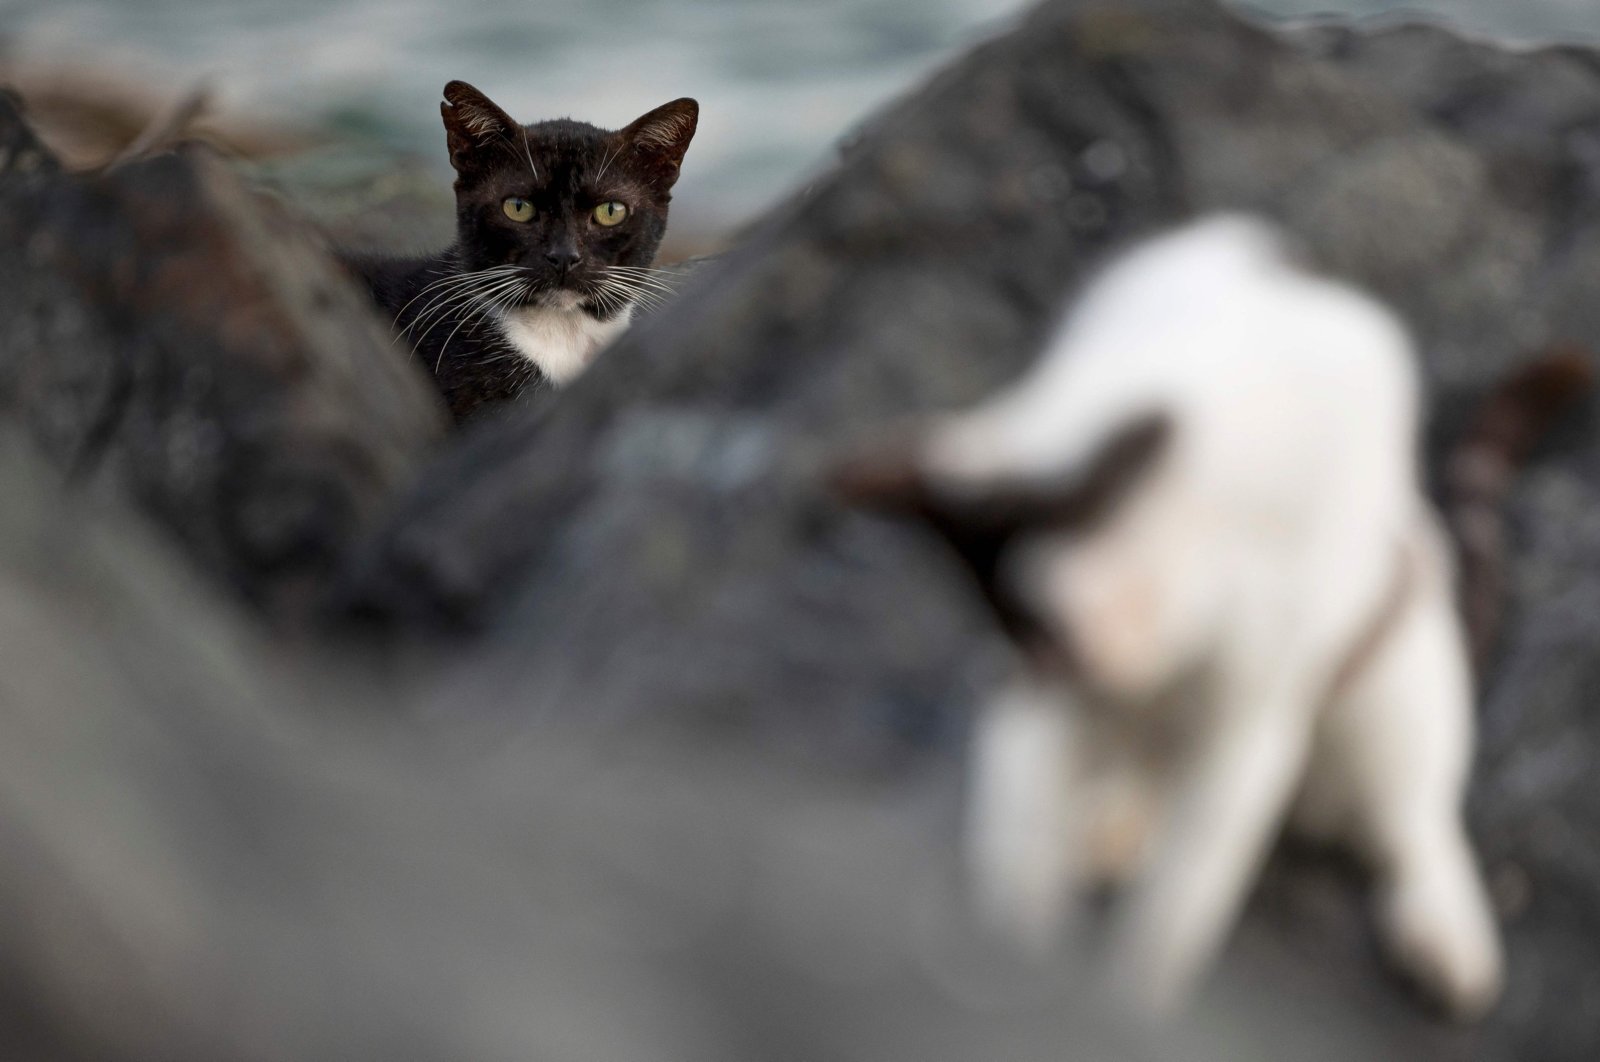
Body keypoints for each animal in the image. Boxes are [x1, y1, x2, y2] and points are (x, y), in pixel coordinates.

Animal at [883, 215, 1504, 1023]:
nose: (1073, 664)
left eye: (1048, 624)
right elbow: (1018, 853)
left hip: (1388, 658)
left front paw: (1125, 1010)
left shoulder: (1248, 712)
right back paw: (1114, 821)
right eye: (1022, 627)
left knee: (1411, 813)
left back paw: (1444, 930)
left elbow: (1177, 904)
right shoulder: (1043, 702)